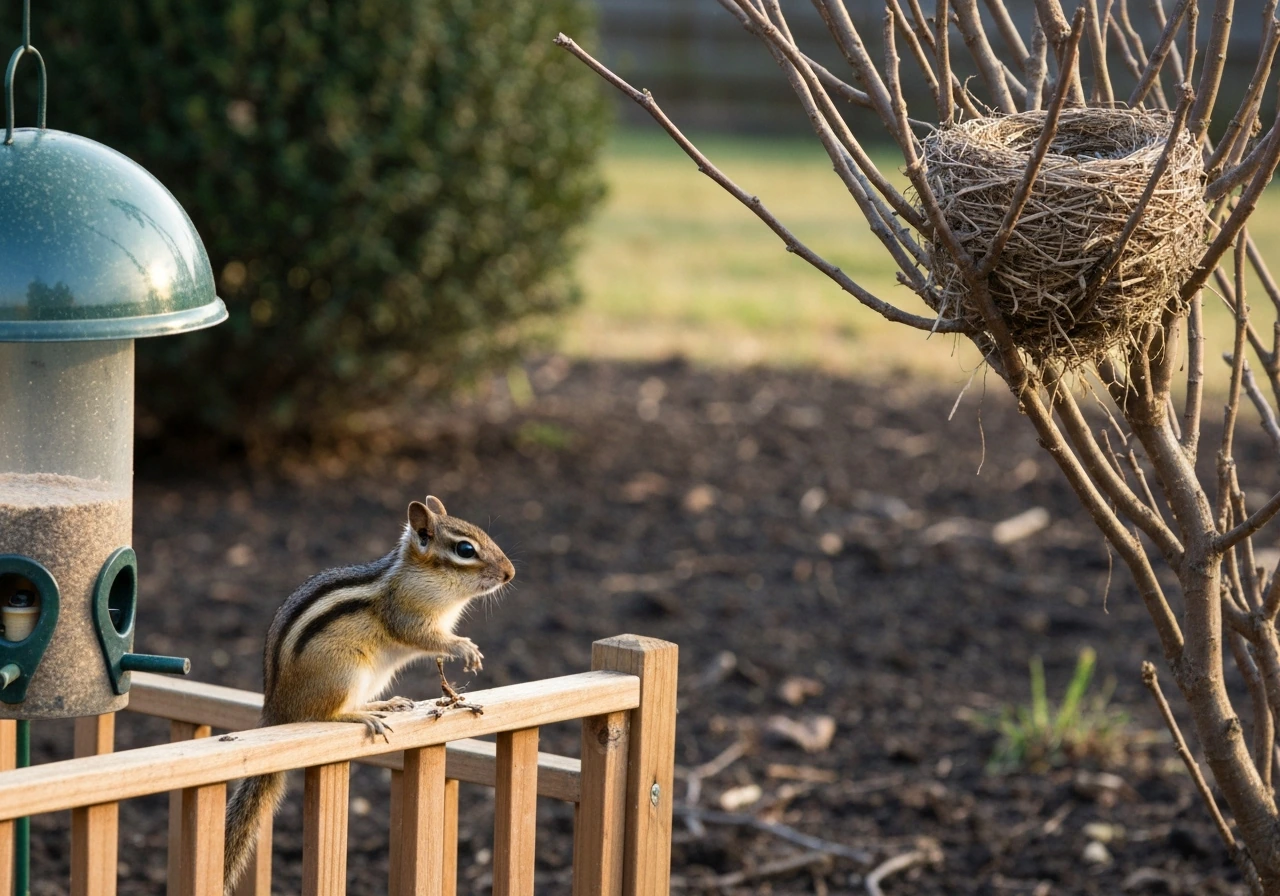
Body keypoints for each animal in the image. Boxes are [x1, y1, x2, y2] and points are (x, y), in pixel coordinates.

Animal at [222, 495, 515, 895]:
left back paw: (384, 703)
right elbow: (426, 637)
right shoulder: (407, 616)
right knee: (322, 714)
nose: (510, 573)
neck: (425, 579)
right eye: (465, 549)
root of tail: (275, 707)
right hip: (345, 672)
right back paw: (360, 715)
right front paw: (464, 648)